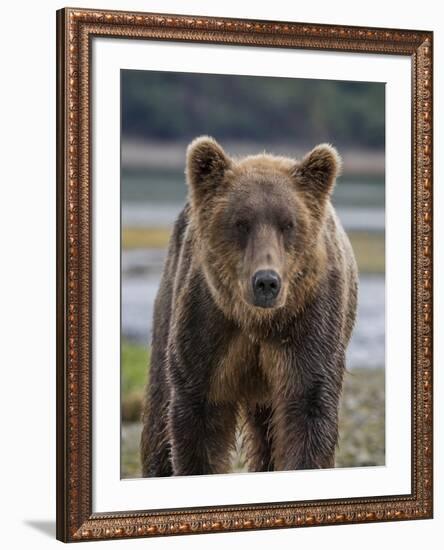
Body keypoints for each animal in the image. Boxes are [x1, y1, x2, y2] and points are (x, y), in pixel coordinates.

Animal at [141, 138, 358, 478]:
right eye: (240, 222)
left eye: (288, 223)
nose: (266, 282)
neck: (257, 321)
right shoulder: (208, 325)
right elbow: (197, 416)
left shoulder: (309, 325)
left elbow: (307, 410)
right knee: (159, 408)